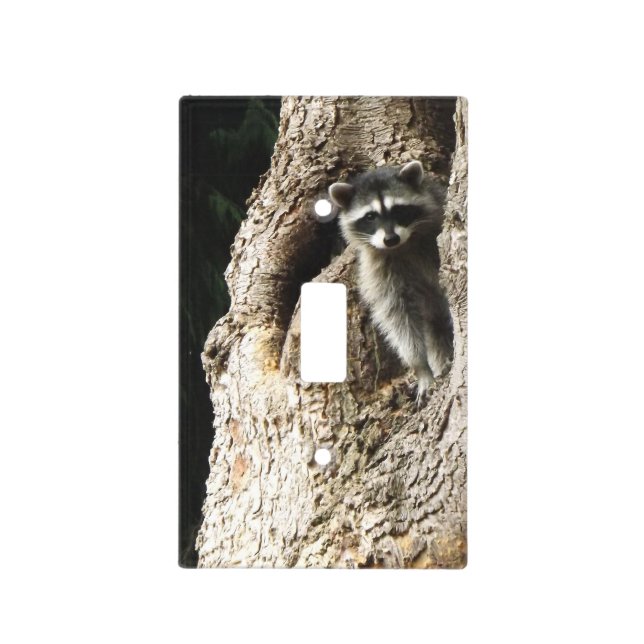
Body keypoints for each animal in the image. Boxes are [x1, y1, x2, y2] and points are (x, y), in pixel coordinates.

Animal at [328, 161, 453, 399]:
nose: (390, 238)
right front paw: (421, 367)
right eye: (370, 217)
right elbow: (397, 316)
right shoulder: (378, 269)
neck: (402, 246)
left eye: (398, 210)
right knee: (435, 326)